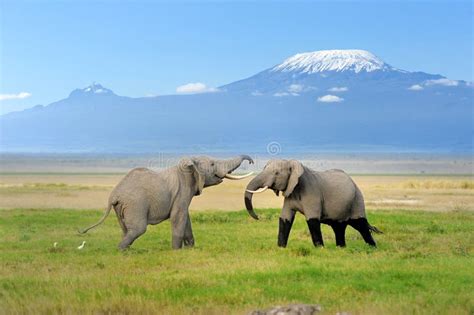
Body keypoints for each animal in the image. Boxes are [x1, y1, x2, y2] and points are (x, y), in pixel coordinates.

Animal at [79, 155, 254, 249]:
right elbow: (179, 216)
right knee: (138, 229)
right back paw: (122, 251)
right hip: (135, 204)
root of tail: (113, 195)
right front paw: (177, 251)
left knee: (126, 229)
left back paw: (127, 250)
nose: (251, 161)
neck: (188, 164)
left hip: (122, 207)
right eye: (212, 164)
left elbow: (186, 218)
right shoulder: (182, 191)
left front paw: (190, 249)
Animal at [244, 159, 382, 248]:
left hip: (357, 199)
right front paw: (281, 248)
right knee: (339, 227)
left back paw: (372, 248)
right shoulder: (290, 193)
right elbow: (285, 218)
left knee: (360, 224)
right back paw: (341, 248)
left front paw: (320, 249)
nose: (258, 217)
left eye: (276, 173)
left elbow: (312, 220)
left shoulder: (312, 193)